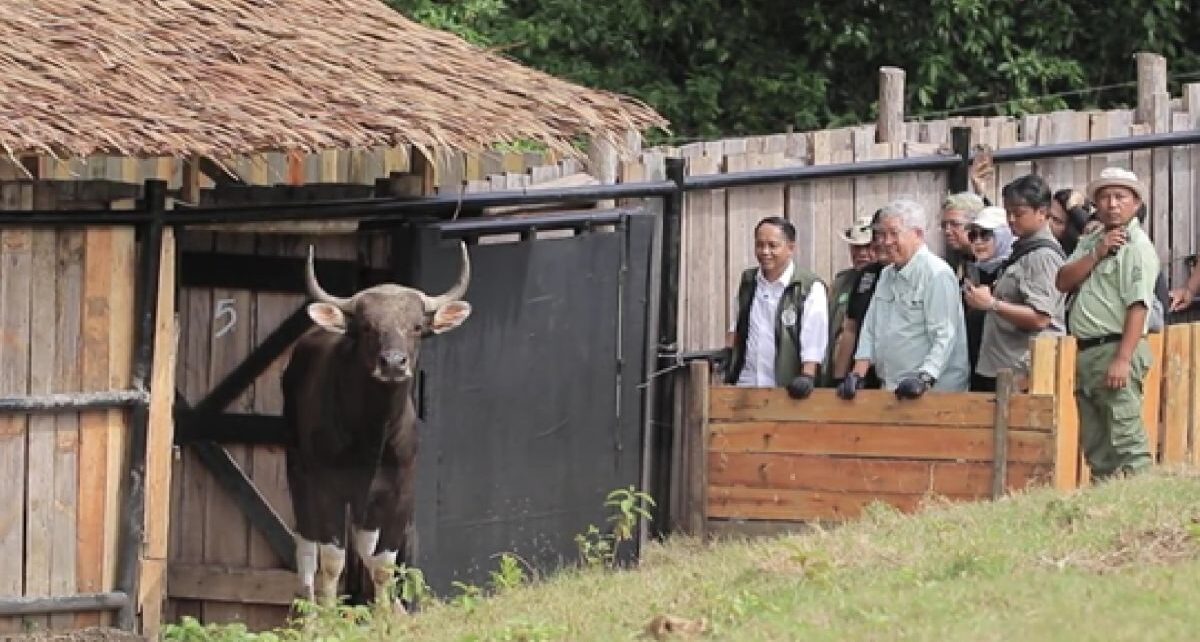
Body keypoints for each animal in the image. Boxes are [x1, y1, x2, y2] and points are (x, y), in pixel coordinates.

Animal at [283, 241, 470, 607]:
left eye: (416, 326)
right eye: (368, 326)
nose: (393, 364)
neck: (373, 433)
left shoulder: (399, 491)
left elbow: (382, 562)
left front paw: (385, 613)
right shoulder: (329, 489)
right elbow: (332, 561)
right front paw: (328, 613)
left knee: (364, 550)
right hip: (298, 472)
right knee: (307, 547)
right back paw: (309, 609)